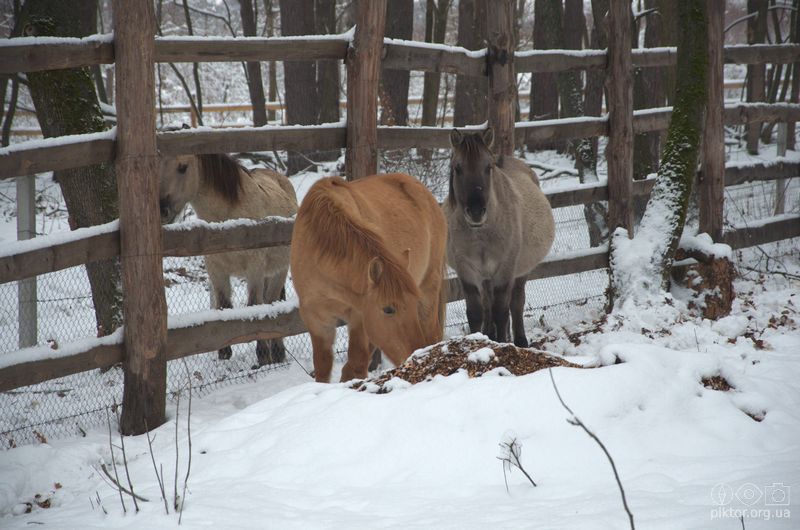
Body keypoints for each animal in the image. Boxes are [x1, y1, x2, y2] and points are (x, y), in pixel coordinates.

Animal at [158, 154, 298, 364]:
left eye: (182, 167)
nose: (162, 209)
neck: (228, 227)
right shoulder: (217, 271)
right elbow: (224, 307)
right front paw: (224, 351)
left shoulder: (254, 270)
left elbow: (254, 307)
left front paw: (263, 356)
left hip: (279, 270)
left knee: (273, 303)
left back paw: (277, 352)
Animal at [290, 173, 446, 380]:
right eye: (388, 309)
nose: (415, 354)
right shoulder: (316, 319)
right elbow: (324, 368)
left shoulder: (359, 317)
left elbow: (356, 365)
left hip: (429, 289)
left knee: (432, 335)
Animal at [444, 128, 556, 346]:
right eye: (458, 168)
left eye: (488, 167)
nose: (476, 211)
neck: (481, 234)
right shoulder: (467, 270)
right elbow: (475, 312)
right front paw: (479, 341)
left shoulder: (505, 269)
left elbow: (501, 312)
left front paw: (503, 344)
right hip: (486, 277)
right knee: (488, 304)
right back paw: (490, 334)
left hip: (520, 271)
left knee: (516, 303)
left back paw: (520, 340)